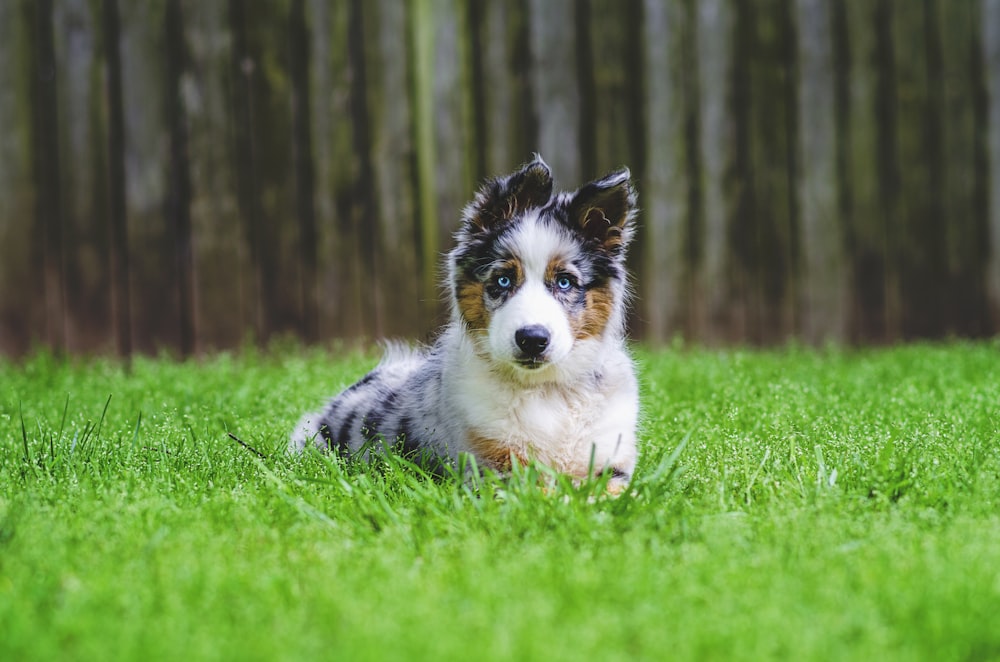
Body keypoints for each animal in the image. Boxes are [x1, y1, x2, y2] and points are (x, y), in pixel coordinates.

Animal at [292, 157, 640, 492]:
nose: (532, 339)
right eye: (503, 279)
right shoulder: (493, 470)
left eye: (565, 282)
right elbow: (549, 495)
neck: (545, 391)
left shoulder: (610, 465)